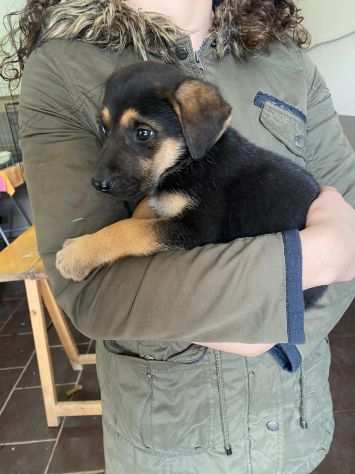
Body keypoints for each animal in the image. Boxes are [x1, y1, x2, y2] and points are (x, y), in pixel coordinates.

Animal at [56, 61, 326, 304]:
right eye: (103, 128)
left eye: (143, 133)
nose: (97, 183)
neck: (187, 162)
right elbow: (142, 210)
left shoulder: (197, 228)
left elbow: (129, 229)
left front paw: (76, 254)